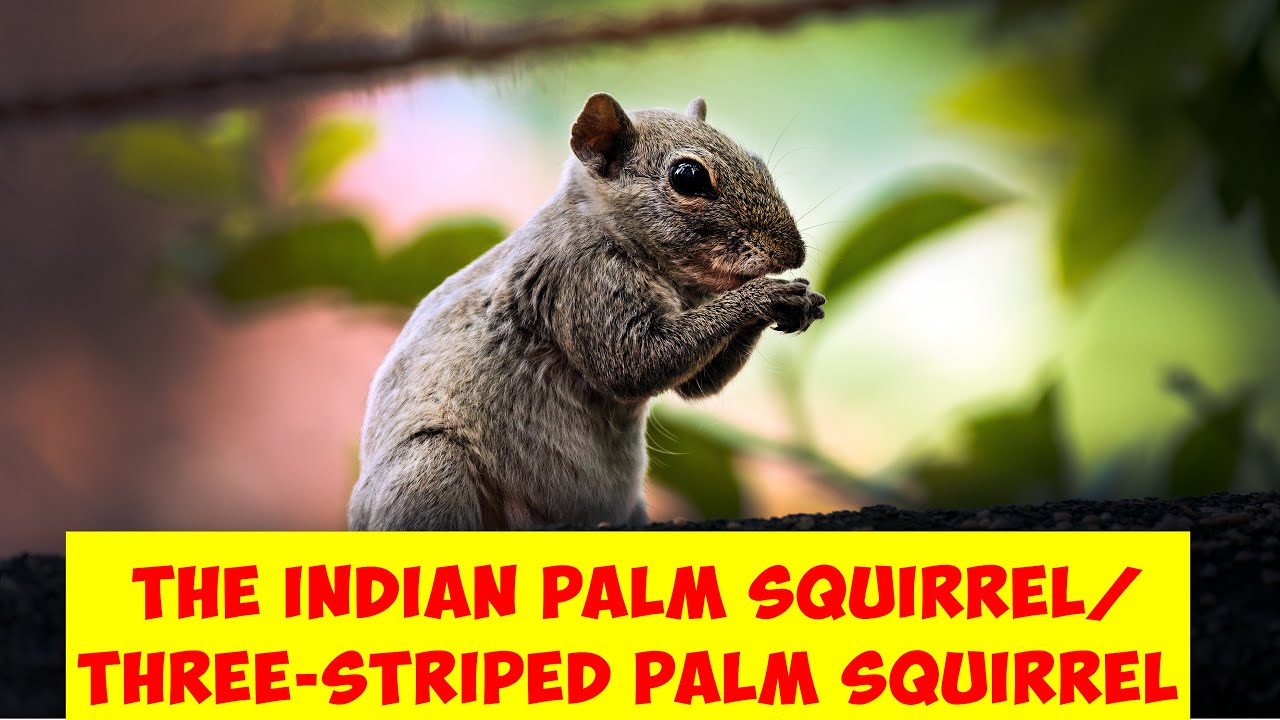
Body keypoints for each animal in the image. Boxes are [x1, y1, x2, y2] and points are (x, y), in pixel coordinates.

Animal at [348, 93, 825, 531]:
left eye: (757, 161)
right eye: (688, 177)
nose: (794, 252)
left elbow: (697, 384)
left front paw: (796, 299)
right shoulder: (579, 280)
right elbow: (633, 364)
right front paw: (764, 295)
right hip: (432, 468)